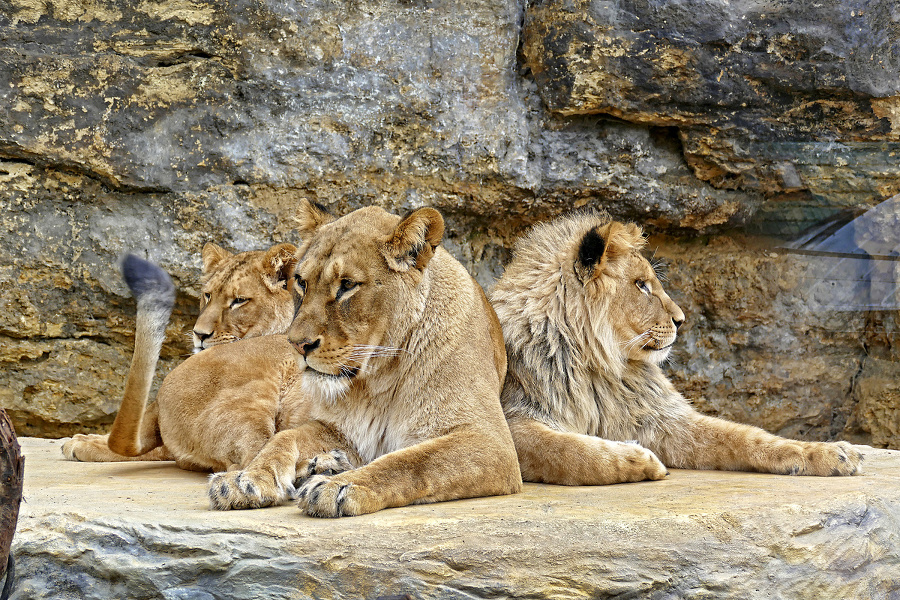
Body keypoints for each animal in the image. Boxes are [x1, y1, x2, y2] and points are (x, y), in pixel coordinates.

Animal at [205, 200, 524, 516]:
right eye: (301, 282)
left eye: (347, 285)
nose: (297, 344)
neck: (377, 380)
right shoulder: (341, 431)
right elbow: (282, 438)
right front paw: (247, 479)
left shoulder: (490, 441)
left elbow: (410, 462)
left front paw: (338, 486)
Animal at [488, 209, 860, 486]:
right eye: (641, 286)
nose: (681, 320)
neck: (598, 365)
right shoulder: (512, 420)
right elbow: (567, 450)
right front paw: (637, 459)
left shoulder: (660, 418)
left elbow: (744, 436)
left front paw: (830, 453)